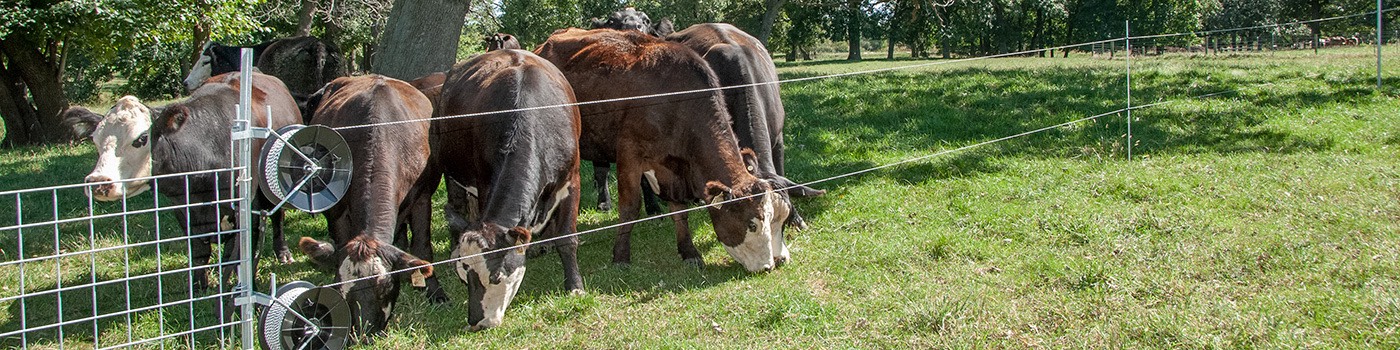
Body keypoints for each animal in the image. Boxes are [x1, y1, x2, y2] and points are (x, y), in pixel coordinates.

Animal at [147, 71, 298, 289]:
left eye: (140, 140)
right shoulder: (182, 211)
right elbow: (199, 252)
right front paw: (198, 285)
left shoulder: (246, 208)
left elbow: (237, 252)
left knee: (278, 218)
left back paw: (283, 253)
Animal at [294, 75, 442, 337]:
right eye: (341, 289)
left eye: (384, 288)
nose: (363, 334)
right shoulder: (337, 208)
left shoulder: (422, 196)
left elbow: (423, 247)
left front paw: (434, 291)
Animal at [439, 48, 588, 330]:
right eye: (465, 272)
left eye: (497, 276)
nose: (478, 322)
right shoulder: (485, 183)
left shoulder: (571, 181)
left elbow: (567, 238)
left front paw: (575, 286)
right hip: (452, 172)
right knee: (456, 206)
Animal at [534, 28, 795, 271]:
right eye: (752, 224)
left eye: (781, 219)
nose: (772, 264)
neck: (676, 100)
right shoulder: (629, 153)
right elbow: (629, 209)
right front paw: (621, 256)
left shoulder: (673, 168)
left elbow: (680, 212)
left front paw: (689, 252)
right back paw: (544, 243)